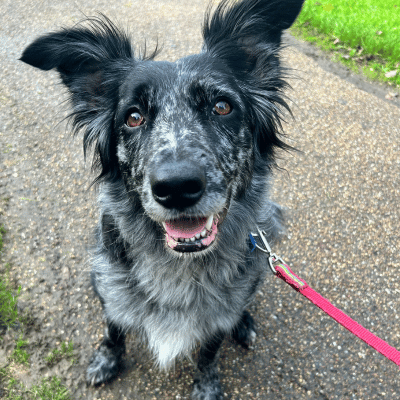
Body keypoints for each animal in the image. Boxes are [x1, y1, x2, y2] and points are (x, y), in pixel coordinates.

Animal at [20, 0, 304, 396]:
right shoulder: (111, 288)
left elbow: (209, 352)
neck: (181, 267)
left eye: (222, 107)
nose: (177, 187)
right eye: (133, 117)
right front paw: (106, 360)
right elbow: (113, 331)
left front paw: (206, 386)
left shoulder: (219, 315)